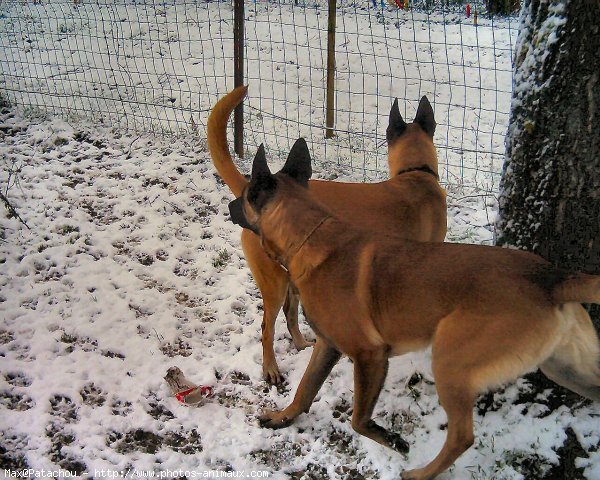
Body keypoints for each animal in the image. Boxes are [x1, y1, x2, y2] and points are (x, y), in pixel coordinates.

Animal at [209, 86, 448, 384]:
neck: (415, 175)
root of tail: (250, 193)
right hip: (274, 283)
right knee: (267, 327)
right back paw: (270, 368)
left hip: (295, 276)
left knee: (289, 314)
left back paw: (301, 344)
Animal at [226, 147, 600, 480]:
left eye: (244, 196)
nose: (229, 204)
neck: (308, 236)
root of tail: (552, 279)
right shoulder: (328, 345)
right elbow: (305, 389)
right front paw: (283, 418)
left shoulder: (370, 355)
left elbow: (358, 420)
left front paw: (393, 440)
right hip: (565, 369)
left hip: (450, 362)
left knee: (462, 437)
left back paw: (421, 473)